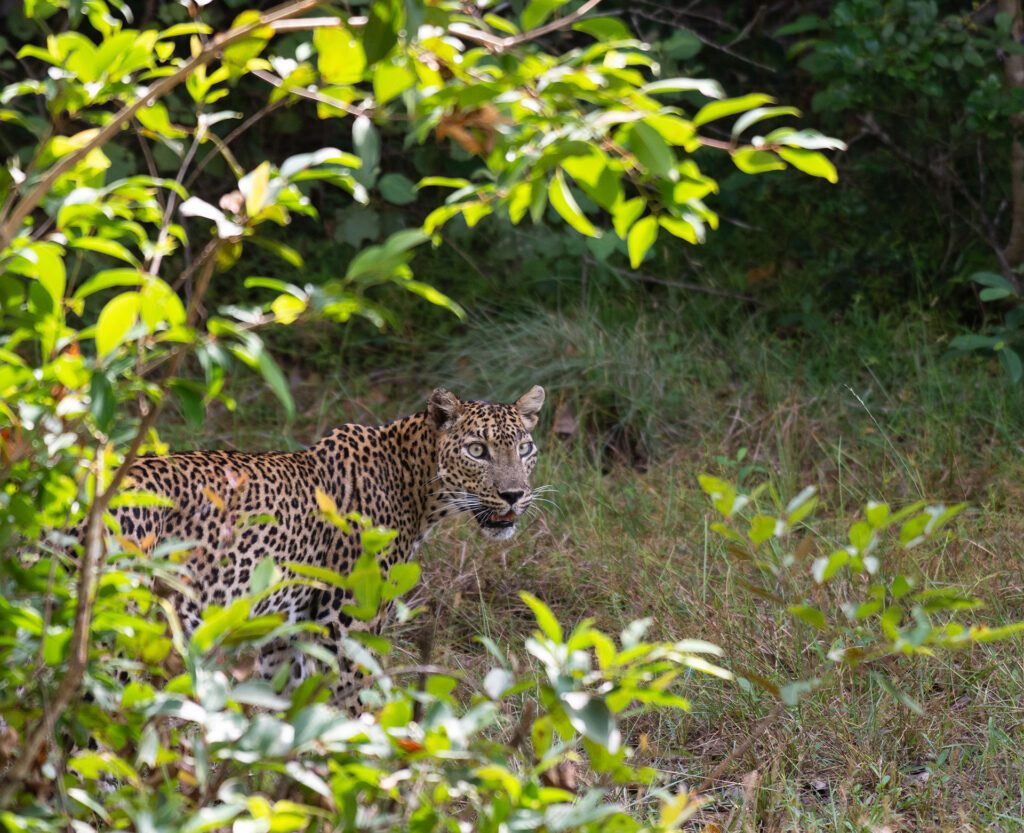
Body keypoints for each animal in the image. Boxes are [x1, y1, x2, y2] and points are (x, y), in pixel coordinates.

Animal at [107, 387, 544, 704]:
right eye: (477, 450)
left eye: (525, 448)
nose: (513, 495)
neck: (414, 485)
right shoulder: (349, 632)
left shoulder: (284, 637)